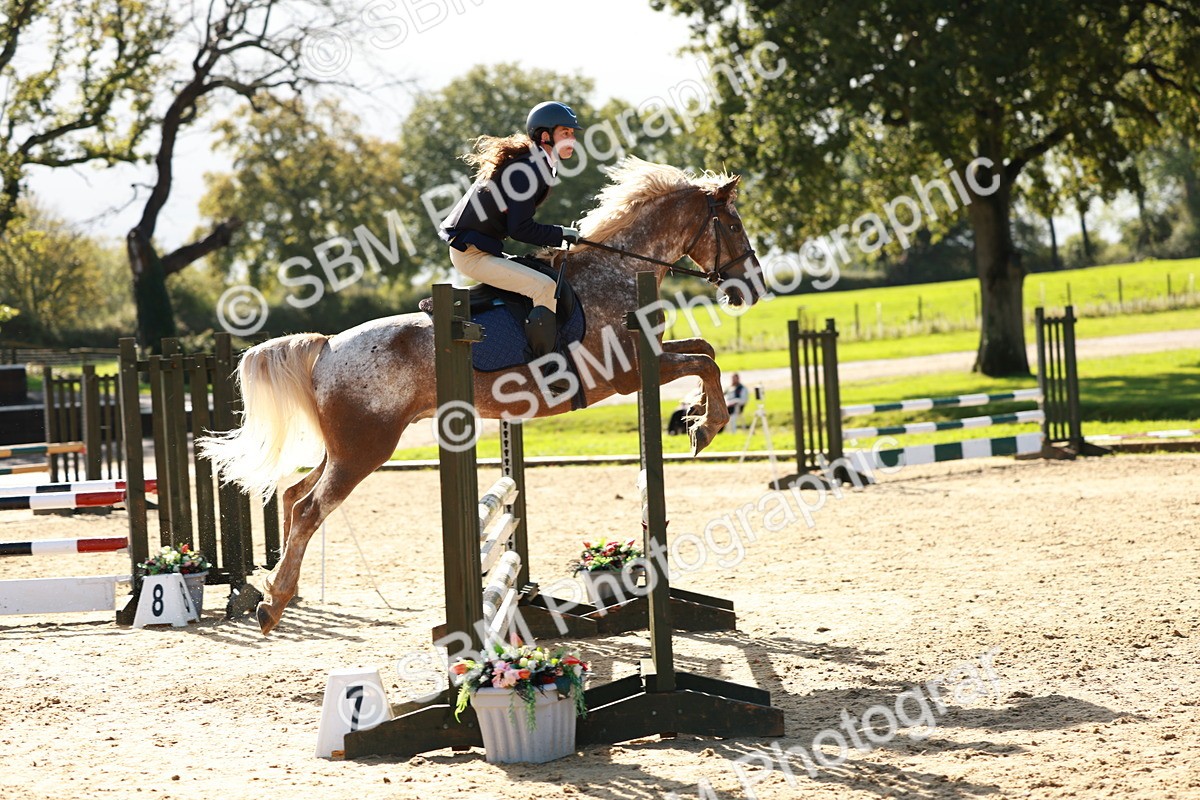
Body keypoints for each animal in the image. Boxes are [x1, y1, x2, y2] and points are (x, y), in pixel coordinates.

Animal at [199, 157, 767, 635]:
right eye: (733, 225)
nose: (753, 290)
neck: (620, 271)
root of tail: (328, 345)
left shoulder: (651, 356)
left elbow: (705, 351)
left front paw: (696, 418)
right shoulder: (627, 375)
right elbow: (707, 362)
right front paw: (706, 426)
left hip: (346, 447)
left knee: (295, 495)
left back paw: (278, 592)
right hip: (365, 450)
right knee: (311, 507)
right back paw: (273, 603)